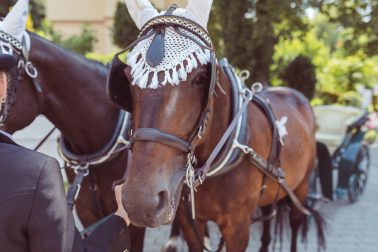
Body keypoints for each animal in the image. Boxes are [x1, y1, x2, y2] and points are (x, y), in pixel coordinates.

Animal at [108, 13, 324, 252]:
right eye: (127, 80)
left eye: (200, 78)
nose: (140, 202)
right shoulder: (190, 222)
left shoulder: (238, 228)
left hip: (301, 187)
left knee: (296, 222)